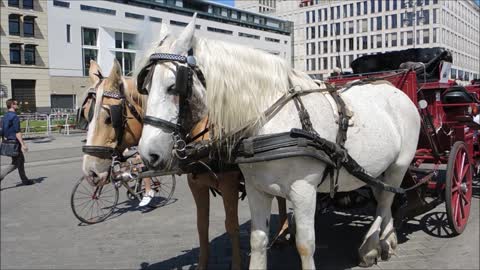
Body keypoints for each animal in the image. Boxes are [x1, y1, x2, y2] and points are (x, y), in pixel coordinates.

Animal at [80, 60, 286, 268]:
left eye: (109, 118)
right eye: (86, 115)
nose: (91, 172)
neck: (203, 132)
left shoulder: (230, 184)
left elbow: (232, 225)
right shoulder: (196, 184)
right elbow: (202, 226)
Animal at [138, 15, 420, 268]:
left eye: (173, 86)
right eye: (145, 87)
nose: (148, 153)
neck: (271, 121)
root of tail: (395, 90)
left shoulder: (304, 191)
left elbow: (305, 245)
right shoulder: (256, 189)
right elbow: (257, 241)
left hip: (399, 164)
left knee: (386, 200)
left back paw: (372, 246)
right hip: (374, 169)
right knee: (383, 196)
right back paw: (385, 240)